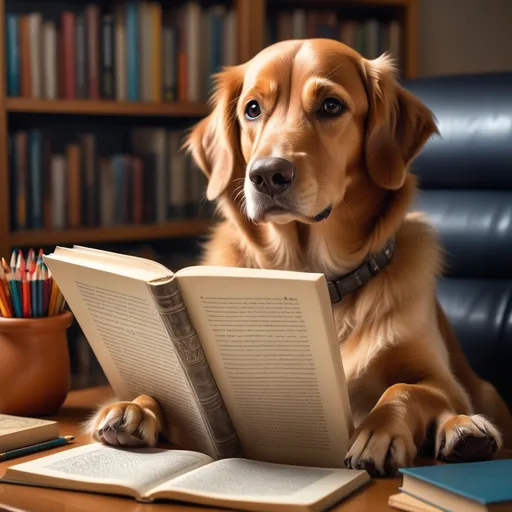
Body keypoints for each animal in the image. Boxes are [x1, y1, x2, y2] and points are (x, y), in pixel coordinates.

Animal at [88, 39, 512, 476]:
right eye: (252, 109)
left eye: (331, 106)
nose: (267, 175)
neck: (314, 273)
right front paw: (136, 405)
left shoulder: (443, 380)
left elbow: (403, 387)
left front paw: (378, 431)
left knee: (456, 412)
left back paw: (466, 432)